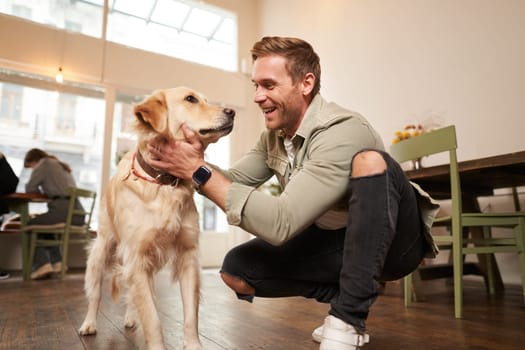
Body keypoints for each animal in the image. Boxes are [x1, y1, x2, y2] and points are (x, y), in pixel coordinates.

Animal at [77, 87, 233, 350]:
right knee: (96, 294)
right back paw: (88, 324)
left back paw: (130, 317)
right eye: (190, 99)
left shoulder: (187, 256)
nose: (232, 112)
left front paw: (193, 344)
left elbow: (190, 314)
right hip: (101, 253)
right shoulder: (137, 258)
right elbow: (152, 319)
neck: (164, 182)